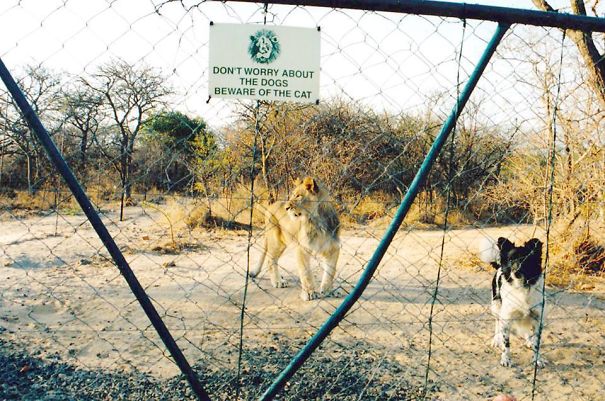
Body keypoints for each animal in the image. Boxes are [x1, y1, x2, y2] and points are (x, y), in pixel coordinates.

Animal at [482, 236, 548, 368]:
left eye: (526, 259)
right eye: (511, 259)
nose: (516, 272)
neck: (522, 287)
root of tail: (499, 266)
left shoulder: (538, 318)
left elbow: (537, 342)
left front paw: (537, 359)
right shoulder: (507, 317)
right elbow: (506, 343)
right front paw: (506, 359)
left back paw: (528, 340)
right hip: (496, 306)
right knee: (497, 322)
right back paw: (496, 339)